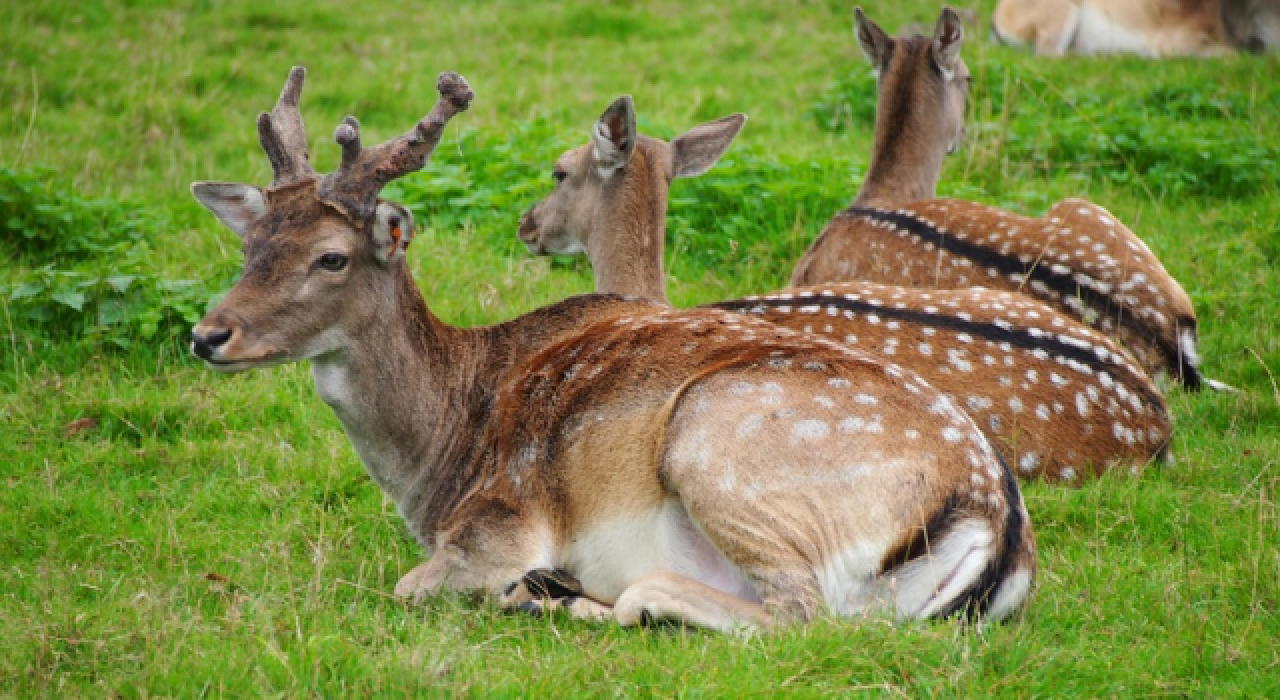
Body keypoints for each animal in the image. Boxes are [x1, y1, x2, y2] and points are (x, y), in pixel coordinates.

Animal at [185, 68, 1034, 632]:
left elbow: (409, 587)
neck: (438, 457)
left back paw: (584, 595)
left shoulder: (501, 520)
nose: (206, 334)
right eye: (249, 245)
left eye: (331, 257)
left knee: (797, 613)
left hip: (718, 448)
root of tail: (995, 520)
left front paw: (531, 585)